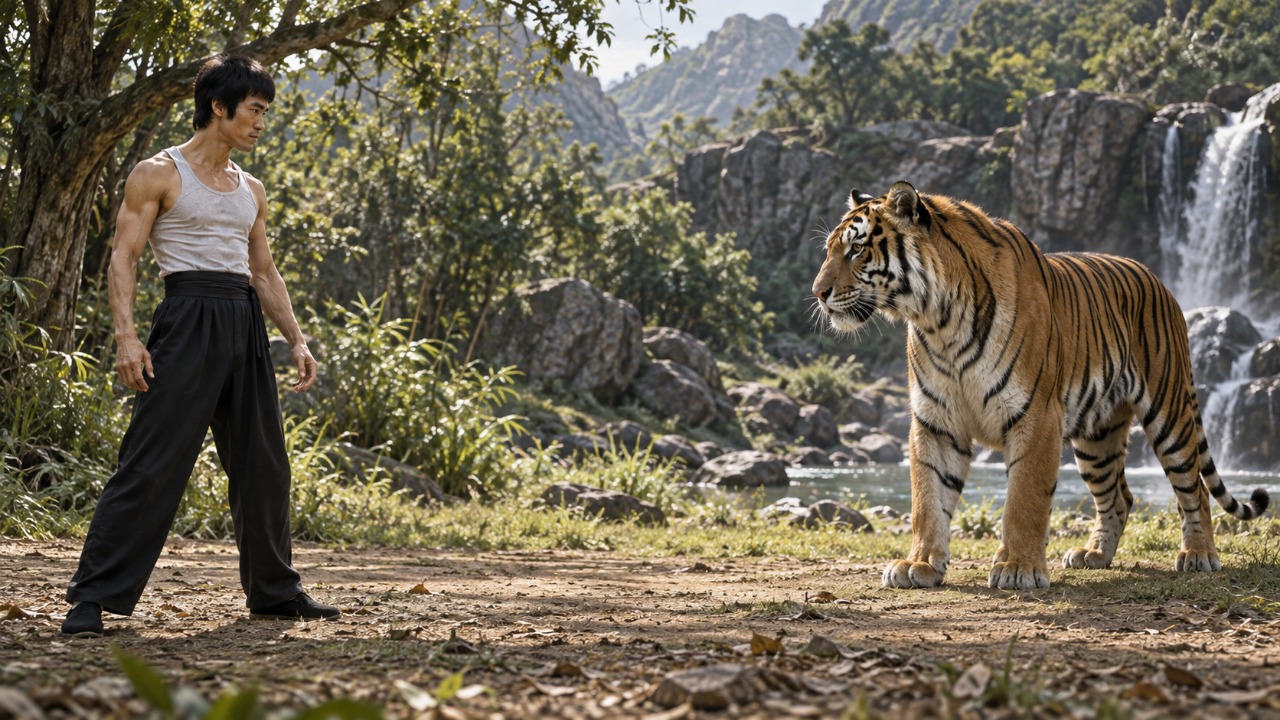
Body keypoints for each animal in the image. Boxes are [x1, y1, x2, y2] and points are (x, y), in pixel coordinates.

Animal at [812, 181, 1270, 591]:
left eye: (857, 249)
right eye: (830, 250)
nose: (818, 293)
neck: (938, 321)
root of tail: (1158, 280)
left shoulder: (1035, 415)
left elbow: (1024, 499)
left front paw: (1018, 567)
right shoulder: (935, 420)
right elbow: (928, 499)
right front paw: (919, 564)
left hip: (1169, 413)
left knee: (1193, 489)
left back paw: (1199, 555)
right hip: (1097, 438)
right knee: (1119, 497)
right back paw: (1095, 555)